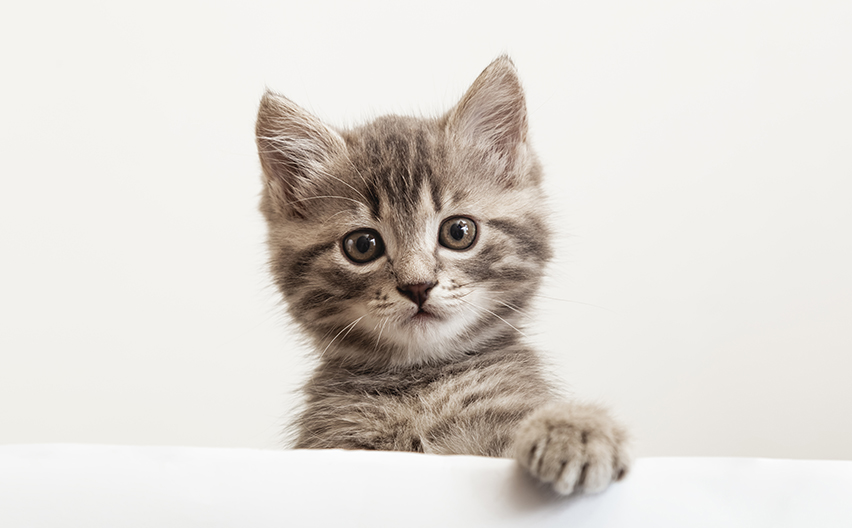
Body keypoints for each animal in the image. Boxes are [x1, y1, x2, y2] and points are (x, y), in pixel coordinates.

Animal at [256, 55, 628, 492]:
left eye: (459, 232)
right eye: (362, 245)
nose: (417, 286)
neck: (421, 382)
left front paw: (575, 428)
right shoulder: (330, 442)